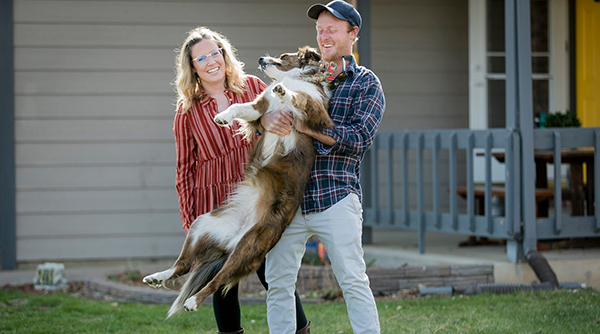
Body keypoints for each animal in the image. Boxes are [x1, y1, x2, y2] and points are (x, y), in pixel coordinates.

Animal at [144, 46, 336, 316]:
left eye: (284, 56)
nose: (260, 58)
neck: (294, 78)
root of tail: (232, 239)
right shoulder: (260, 107)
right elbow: (239, 106)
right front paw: (223, 116)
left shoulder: (316, 113)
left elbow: (298, 98)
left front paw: (285, 92)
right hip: (201, 225)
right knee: (184, 265)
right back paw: (158, 277)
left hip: (248, 247)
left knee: (218, 279)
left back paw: (193, 301)